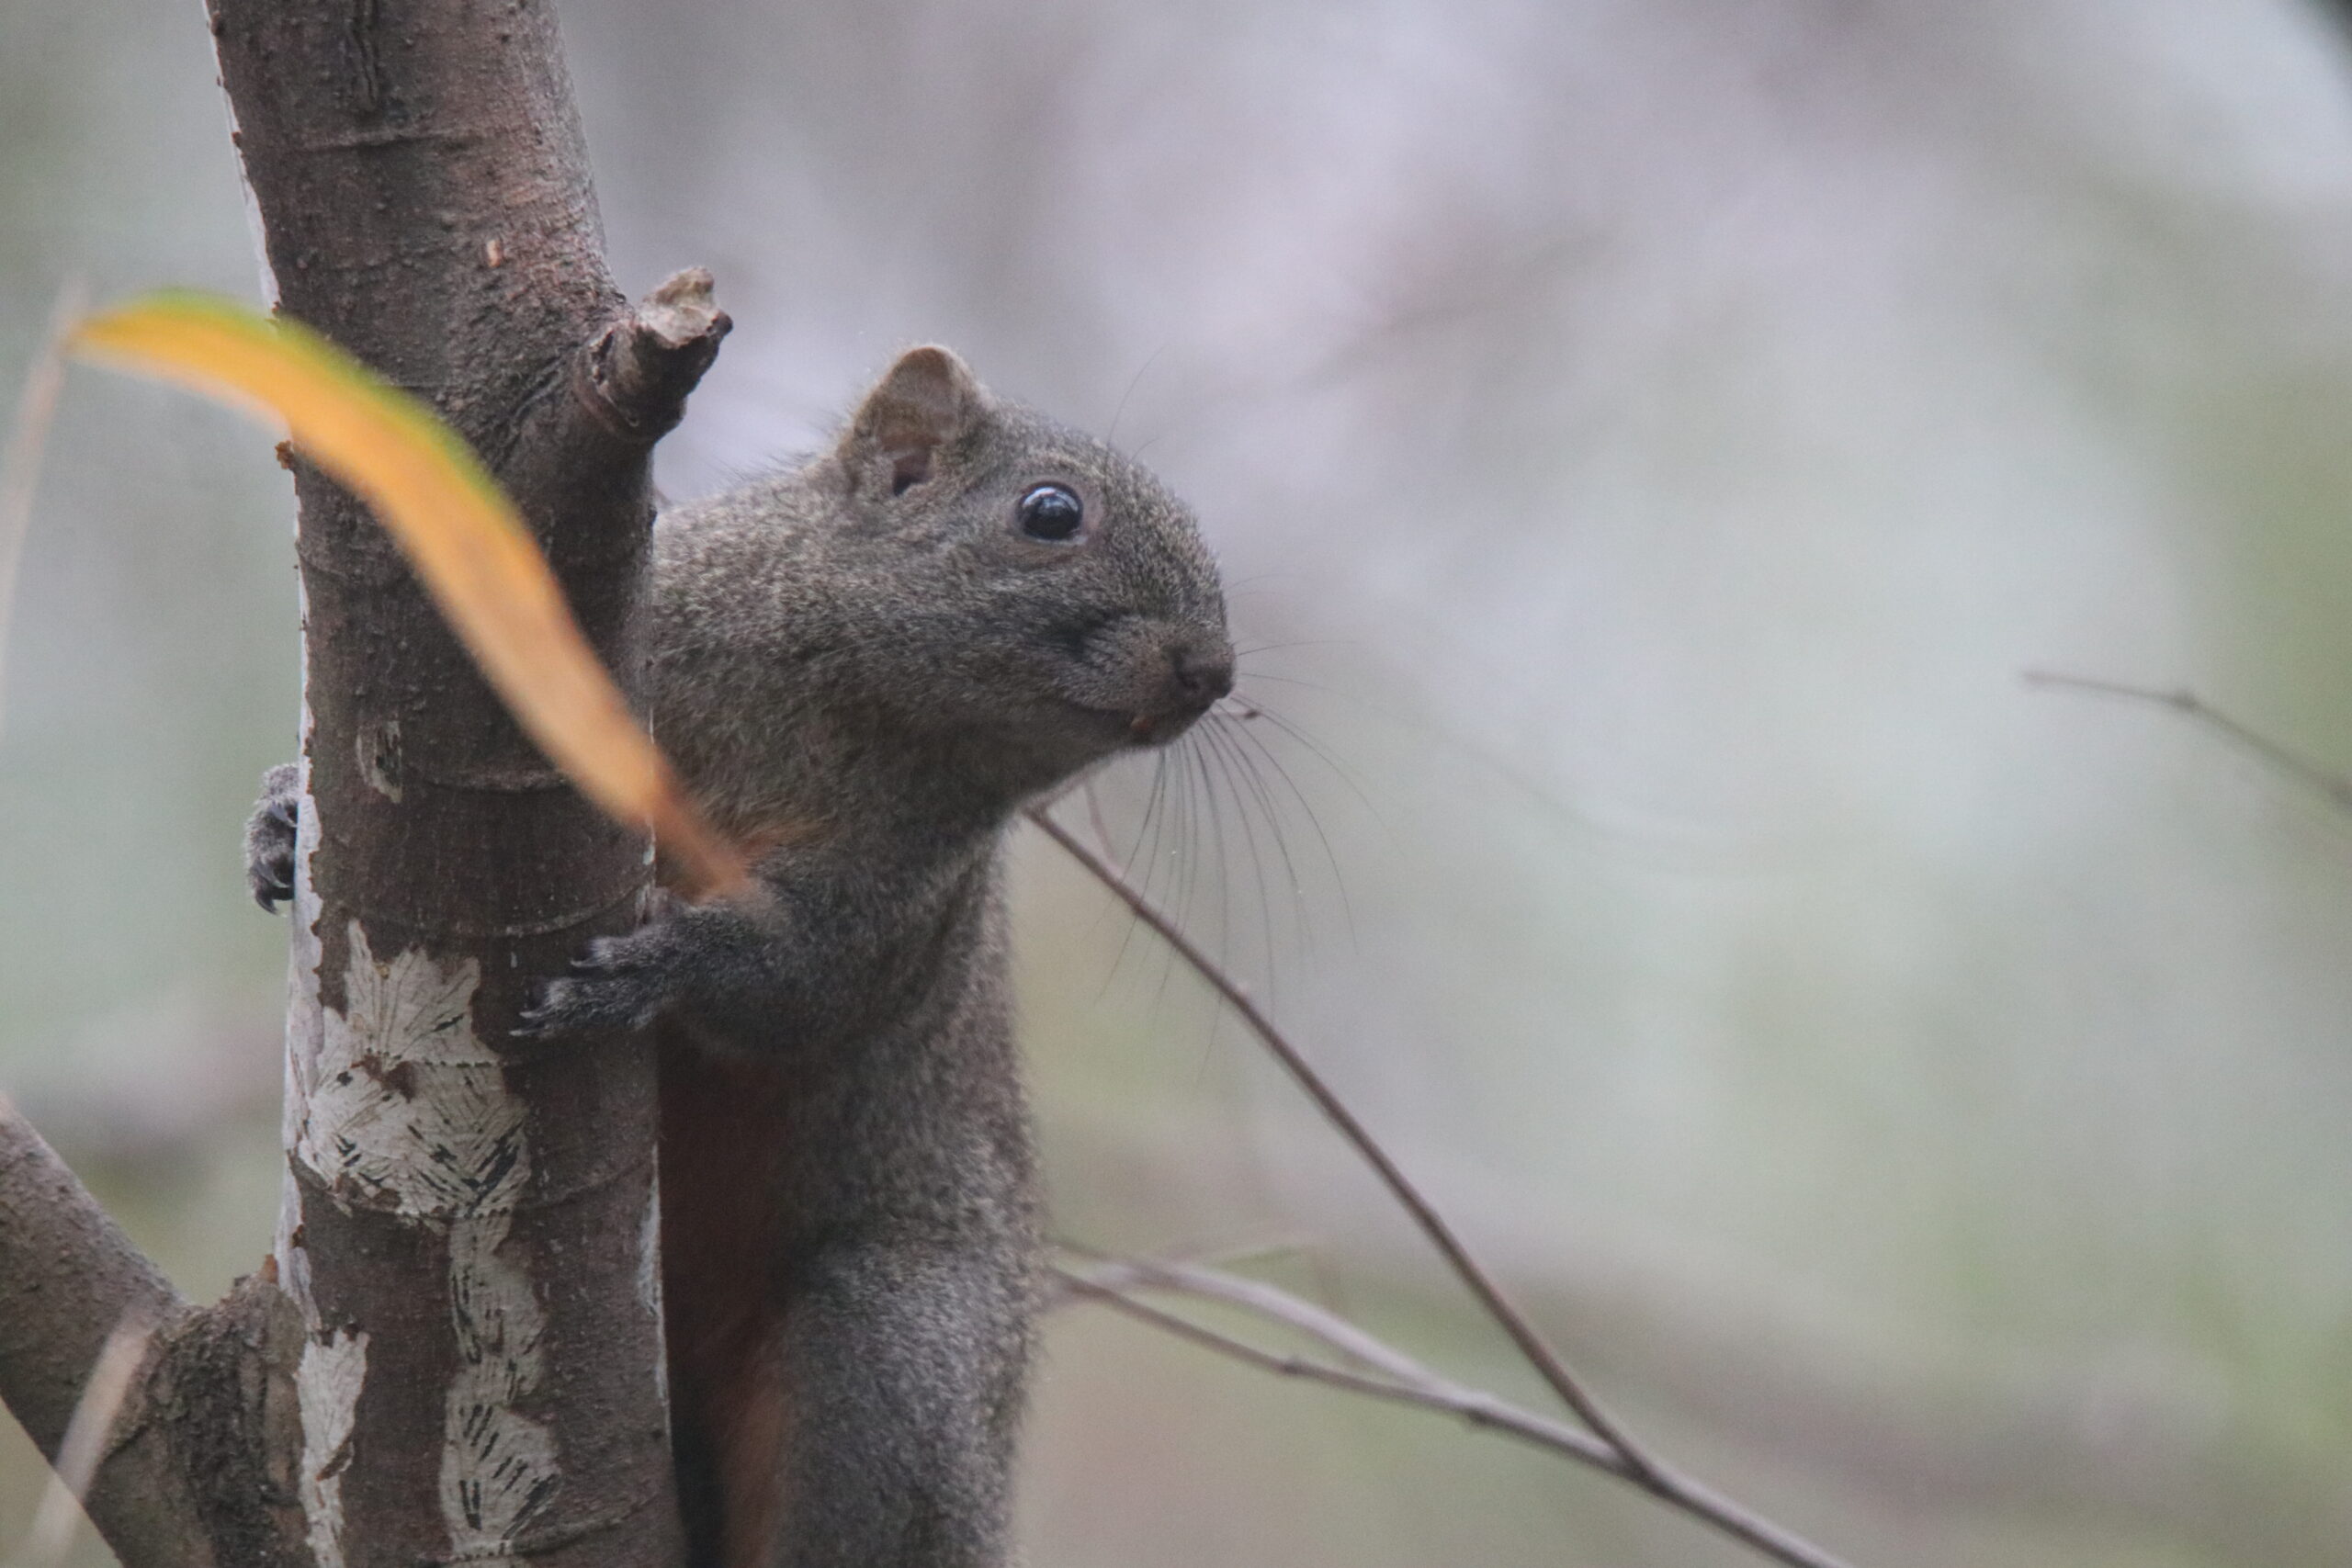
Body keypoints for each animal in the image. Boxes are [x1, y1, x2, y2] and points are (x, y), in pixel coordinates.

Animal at [247, 344, 1234, 1568]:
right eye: (1050, 513)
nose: (1212, 670)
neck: (836, 700)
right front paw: (282, 816)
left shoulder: (900, 887)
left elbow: (796, 984)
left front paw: (659, 964)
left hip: (892, 1354)